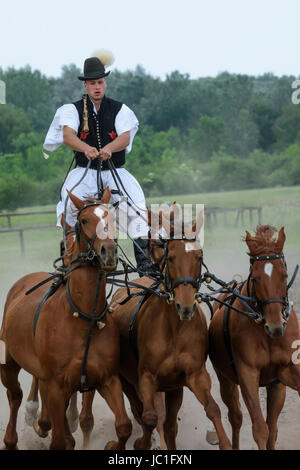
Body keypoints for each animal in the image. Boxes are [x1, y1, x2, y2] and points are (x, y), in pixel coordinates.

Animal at [0, 189, 131, 450]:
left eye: (113, 218)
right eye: (84, 220)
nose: (109, 252)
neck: (83, 318)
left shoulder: (107, 378)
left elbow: (123, 425)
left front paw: (113, 445)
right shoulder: (56, 386)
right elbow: (59, 440)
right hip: (8, 360)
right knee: (14, 396)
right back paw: (12, 438)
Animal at [76, 207, 231, 450]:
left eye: (199, 256)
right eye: (171, 256)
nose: (185, 305)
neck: (175, 329)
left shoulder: (192, 376)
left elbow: (211, 409)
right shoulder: (147, 378)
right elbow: (150, 417)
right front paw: (143, 442)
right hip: (126, 381)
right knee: (138, 410)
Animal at [209, 226, 300, 450]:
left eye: (284, 275)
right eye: (256, 278)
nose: (275, 326)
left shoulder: (284, 375)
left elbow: (272, 430)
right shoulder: (247, 374)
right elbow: (260, 429)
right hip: (225, 379)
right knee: (236, 417)